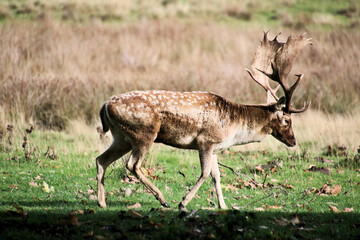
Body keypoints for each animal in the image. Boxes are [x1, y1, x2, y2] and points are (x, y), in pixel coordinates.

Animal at [96, 31, 312, 210]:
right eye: (287, 120)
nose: (293, 141)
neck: (233, 129)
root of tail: (105, 105)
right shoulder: (205, 140)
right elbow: (206, 173)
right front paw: (183, 202)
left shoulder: (215, 147)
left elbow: (217, 175)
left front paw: (223, 205)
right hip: (145, 132)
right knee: (132, 165)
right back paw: (163, 199)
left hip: (121, 137)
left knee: (101, 160)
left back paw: (102, 202)